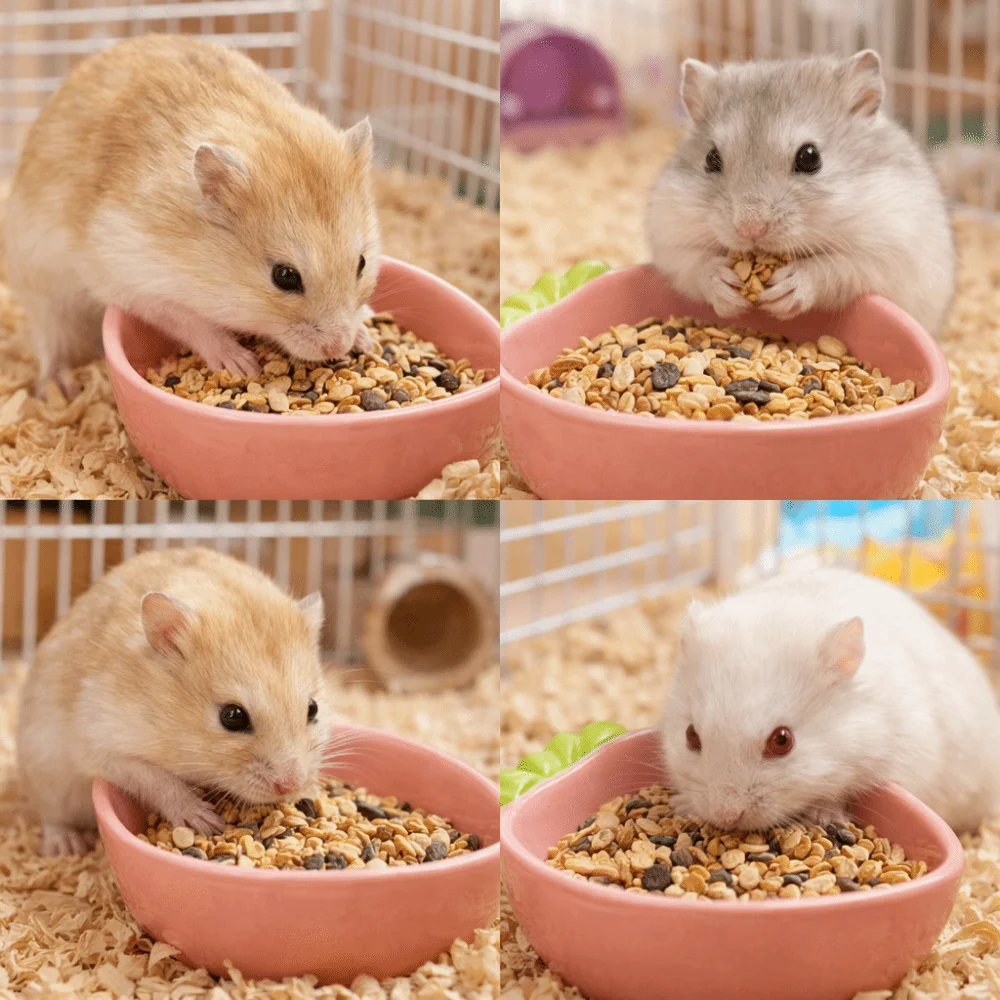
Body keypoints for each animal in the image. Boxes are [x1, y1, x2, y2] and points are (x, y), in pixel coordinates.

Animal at [4, 34, 382, 397]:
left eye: (362, 263)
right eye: (285, 276)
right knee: (51, 346)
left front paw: (365, 335)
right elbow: (192, 321)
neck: (205, 264)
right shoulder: (136, 278)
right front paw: (241, 364)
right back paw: (60, 388)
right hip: (45, 294)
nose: (337, 347)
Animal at [16, 546, 331, 856]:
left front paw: (311, 789)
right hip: (46, 773)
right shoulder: (102, 743)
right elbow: (156, 779)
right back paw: (66, 846)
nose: (290, 785)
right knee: (52, 818)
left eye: (313, 708)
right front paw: (204, 820)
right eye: (232, 716)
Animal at [646, 50, 956, 337]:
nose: (750, 228)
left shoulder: (886, 250)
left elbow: (835, 267)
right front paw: (724, 286)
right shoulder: (670, 240)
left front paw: (789, 287)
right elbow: (695, 264)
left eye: (810, 157)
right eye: (711, 159)